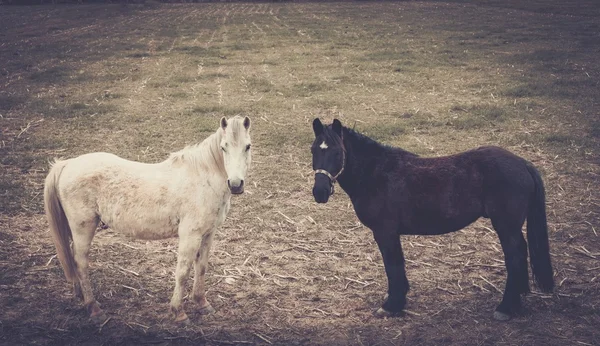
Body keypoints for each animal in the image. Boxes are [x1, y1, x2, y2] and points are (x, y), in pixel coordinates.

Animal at [43, 116, 251, 324]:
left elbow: (201, 268)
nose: (235, 184)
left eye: (247, 146)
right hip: (83, 227)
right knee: (80, 262)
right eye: (223, 147)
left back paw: (80, 295)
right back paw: (93, 307)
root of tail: (67, 164)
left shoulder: (208, 233)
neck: (202, 179)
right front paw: (179, 312)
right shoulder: (190, 235)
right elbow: (183, 272)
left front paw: (202, 303)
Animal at [312, 118, 556, 318]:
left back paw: (506, 307)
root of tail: (522, 163)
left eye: (337, 152)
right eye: (313, 150)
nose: (319, 192)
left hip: (506, 226)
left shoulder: (385, 232)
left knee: (515, 255)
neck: (377, 173)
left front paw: (392, 305)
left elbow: (393, 265)